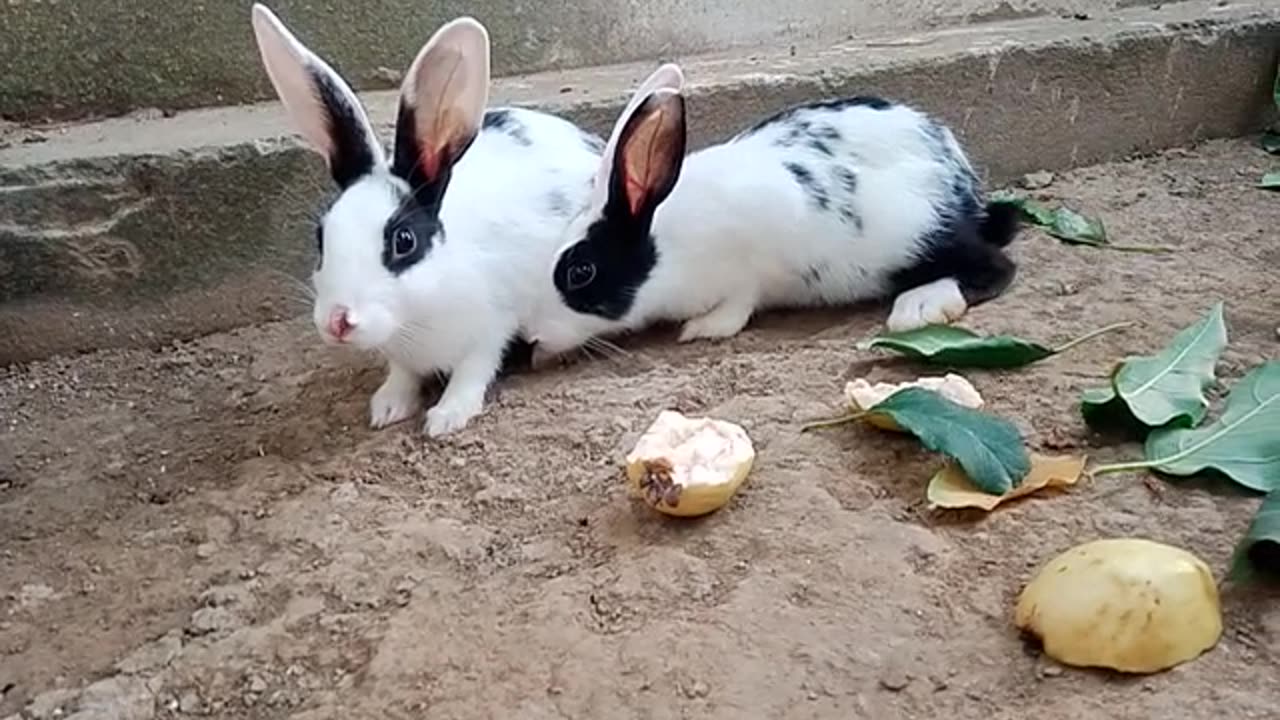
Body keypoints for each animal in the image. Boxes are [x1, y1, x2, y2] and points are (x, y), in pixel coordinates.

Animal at [253, 4, 609, 438]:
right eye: (321, 238)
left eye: (404, 241)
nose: (338, 322)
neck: (413, 317)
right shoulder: (403, 355)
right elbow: (403, 374)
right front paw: (388, 407)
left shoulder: (491, 330)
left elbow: (473, 372)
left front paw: (446, 417)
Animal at [522, 62, 1018, 356]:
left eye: (580, 272)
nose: (532, 336)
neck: (666, 245)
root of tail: (959, 176)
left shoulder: (749, 266)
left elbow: (736, 307)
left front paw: (701, 328)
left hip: (916, 233)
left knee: (995, 267)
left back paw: (919, 306)